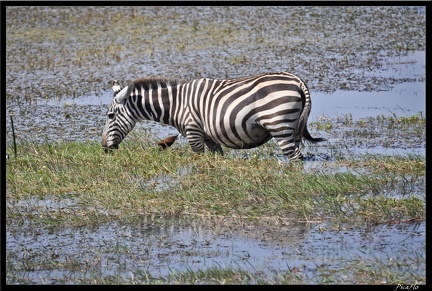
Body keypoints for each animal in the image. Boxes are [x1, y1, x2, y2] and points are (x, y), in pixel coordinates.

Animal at [101, 72, 324, 161]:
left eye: (110, 116)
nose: (104, 148)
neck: (177, 104)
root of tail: (297, 80)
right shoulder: (209, 138)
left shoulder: (193, 133)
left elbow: (198, 160)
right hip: (293, 128)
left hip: (279, 125)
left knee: (295, 157)